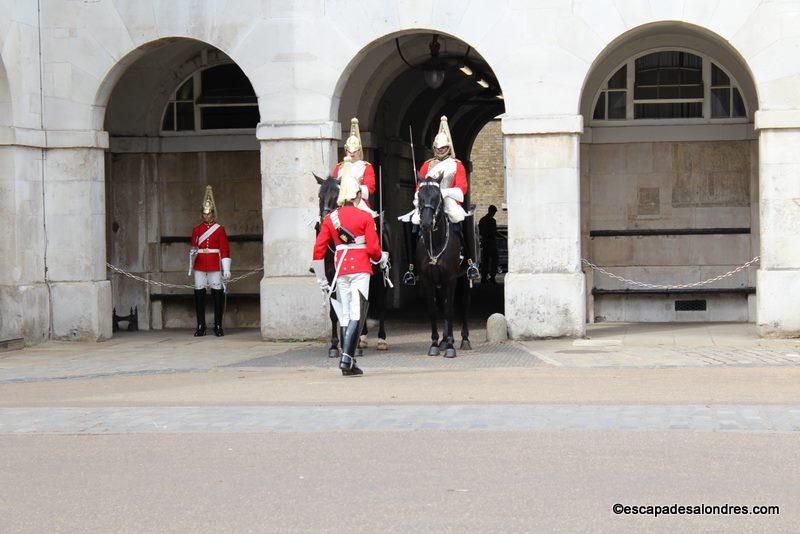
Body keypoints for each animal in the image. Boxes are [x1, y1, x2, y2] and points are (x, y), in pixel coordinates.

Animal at [312, 177, 390, 360]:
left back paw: (381, 339)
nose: (325, 220)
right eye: (319, 195)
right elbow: (335, 313)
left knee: (381, 304)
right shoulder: (331, 276)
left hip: (379, 277)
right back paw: (361, 338)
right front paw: (335, 345)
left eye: (337, 195)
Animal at [416, 178, 472, 358]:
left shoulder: (451, 278)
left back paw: (463, 339)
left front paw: (450, 348)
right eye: (419, 196)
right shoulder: (428, 280)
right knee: (444, 304)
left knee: (463, 304)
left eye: (437, 198)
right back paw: (445, 339)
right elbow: (434, 310)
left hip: (465, 278)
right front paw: (435, 343)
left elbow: (449, 310)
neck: (435, 242)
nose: (426, 223)